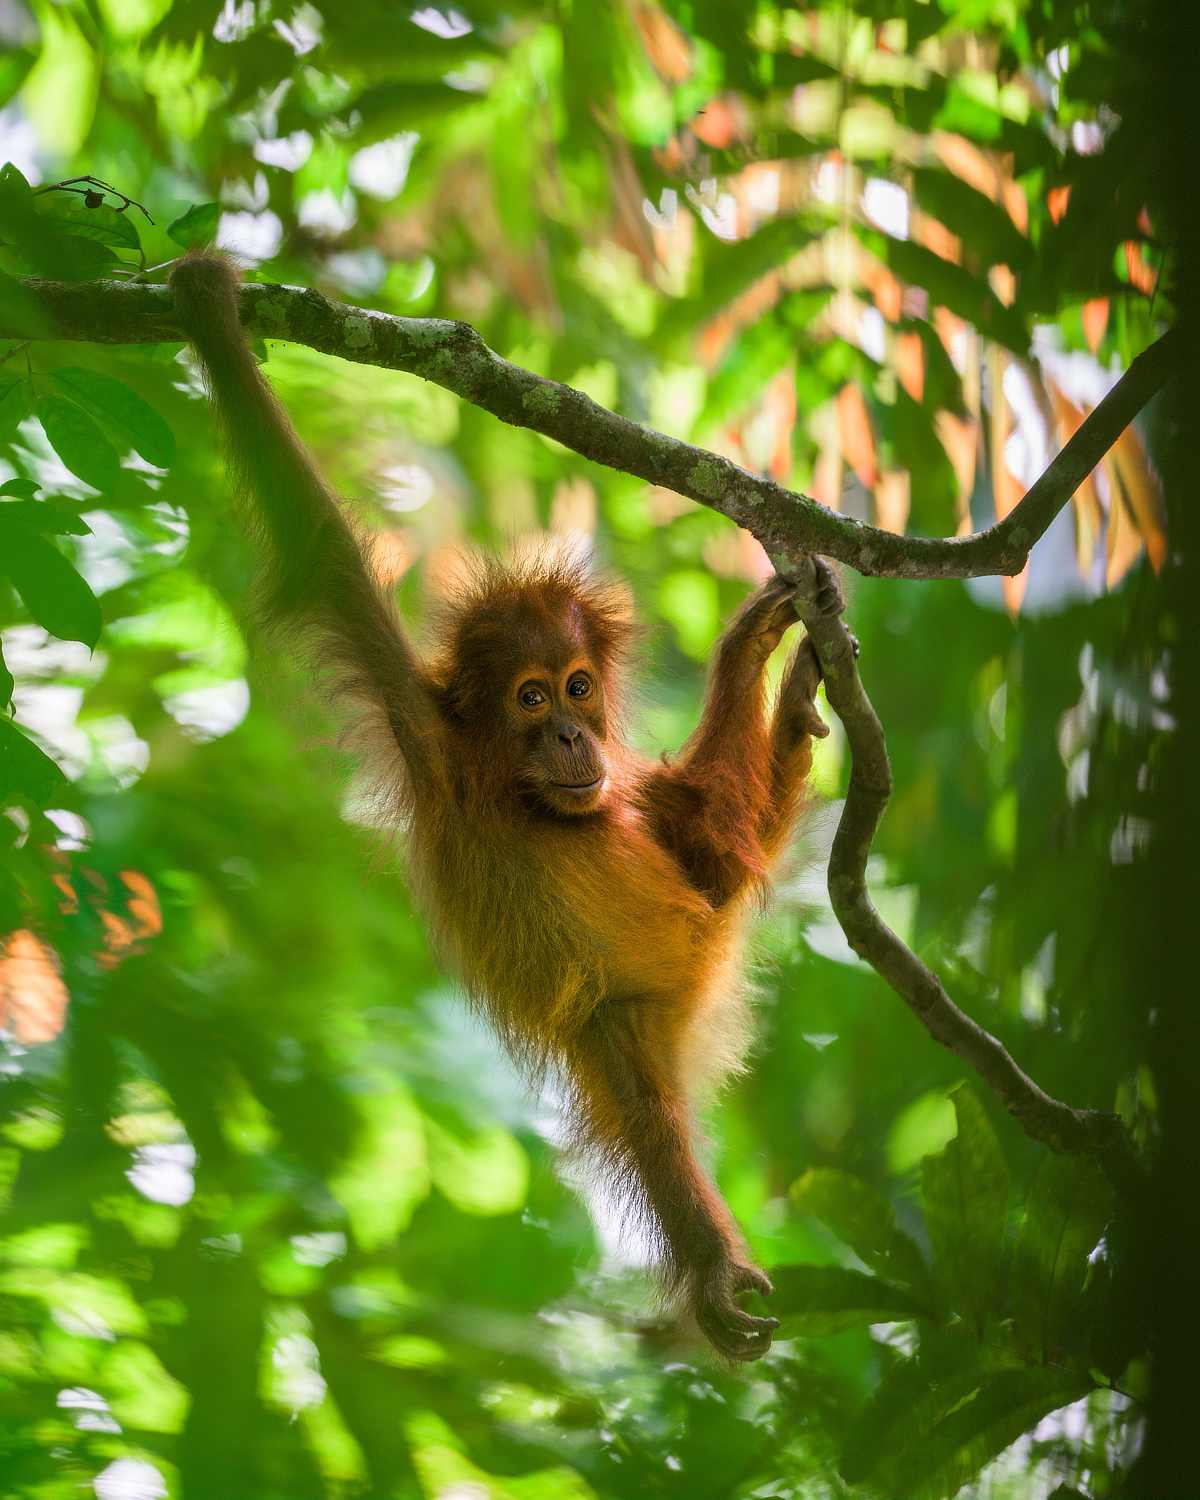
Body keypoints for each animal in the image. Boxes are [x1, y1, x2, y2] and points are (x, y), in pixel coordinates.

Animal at [169, 253, 846, 1362]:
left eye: (578, 686)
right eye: (531, 698)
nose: (573, 737)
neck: (519, 792)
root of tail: (694, 982)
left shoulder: (621, 794)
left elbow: (698, 839)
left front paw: (750, 647)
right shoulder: (426, 735)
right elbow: (323, 553)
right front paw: (211, 313)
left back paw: (778, 701)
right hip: (619, 1024)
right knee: (652, 1115)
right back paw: (710, 1268)